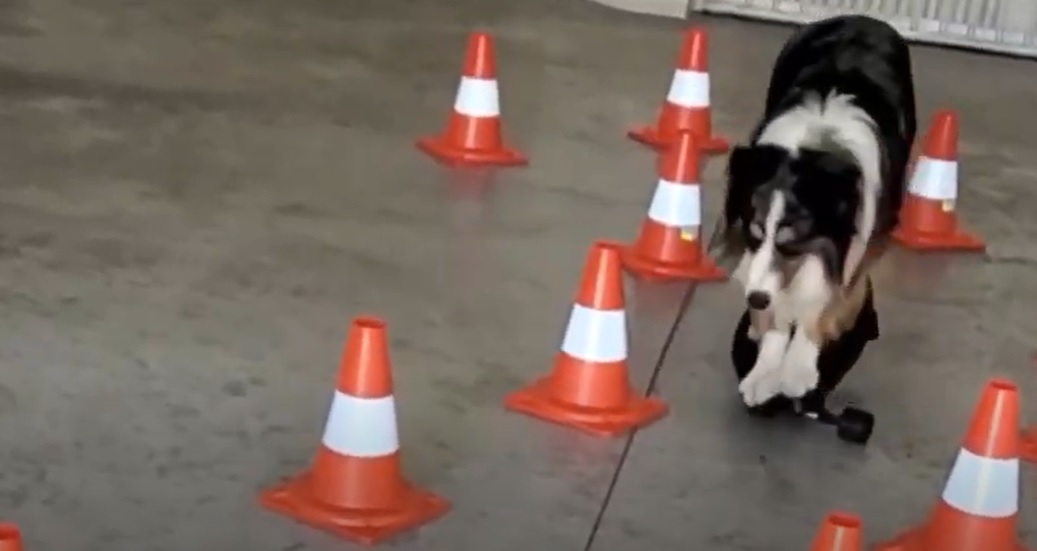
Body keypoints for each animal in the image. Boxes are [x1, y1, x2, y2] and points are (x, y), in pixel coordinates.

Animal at [717, 15, 912, 406]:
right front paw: (765, 368)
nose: (755, 300)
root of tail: (862, 17)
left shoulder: (860, 238)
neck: (814, 150)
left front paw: (797, 368)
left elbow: (826, 297)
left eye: (793, 241)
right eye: (753, 233)